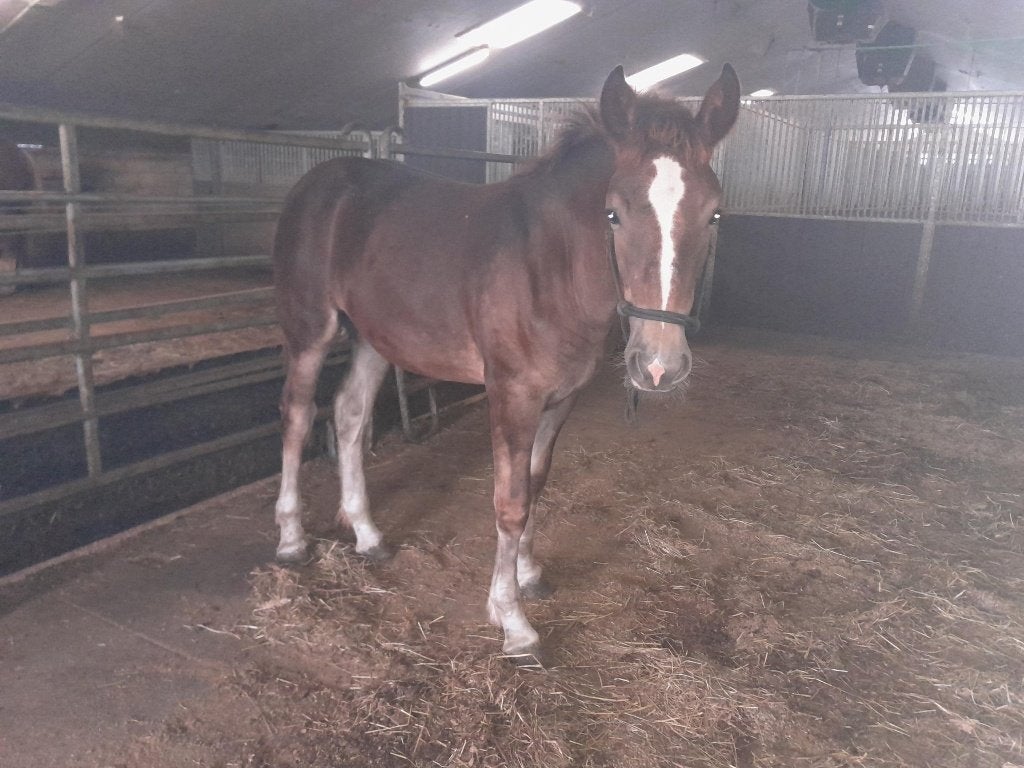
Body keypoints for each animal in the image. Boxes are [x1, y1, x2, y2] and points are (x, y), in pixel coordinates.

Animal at [272, 64, 740, 664]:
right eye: (613, 213)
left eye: (715, 213)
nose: (658, 366)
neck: (551, 266)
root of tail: (318, 181)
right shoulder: (513, 394)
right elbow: (510, 502)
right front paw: (512, 621)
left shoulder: (561, 397)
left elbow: (536, 483)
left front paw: (530, 575)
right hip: (310, 327)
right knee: (298, 415)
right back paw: (291, 540)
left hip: (376, 337)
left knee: (350, 414)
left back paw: (369, 537)